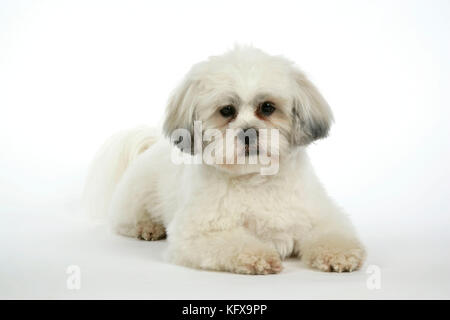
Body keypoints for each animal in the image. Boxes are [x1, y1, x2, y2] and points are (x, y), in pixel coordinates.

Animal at [83, 45, 366, 276]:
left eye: (267, 107)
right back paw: (148, 228)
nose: (249, 131)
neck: (256, 180)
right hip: (135, 199)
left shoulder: (320, 216)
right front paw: (258, 257)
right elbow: (233, 243)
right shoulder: (197, 233)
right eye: (227, 111)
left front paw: (340, 254)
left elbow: (332, 233)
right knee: (126, 220)